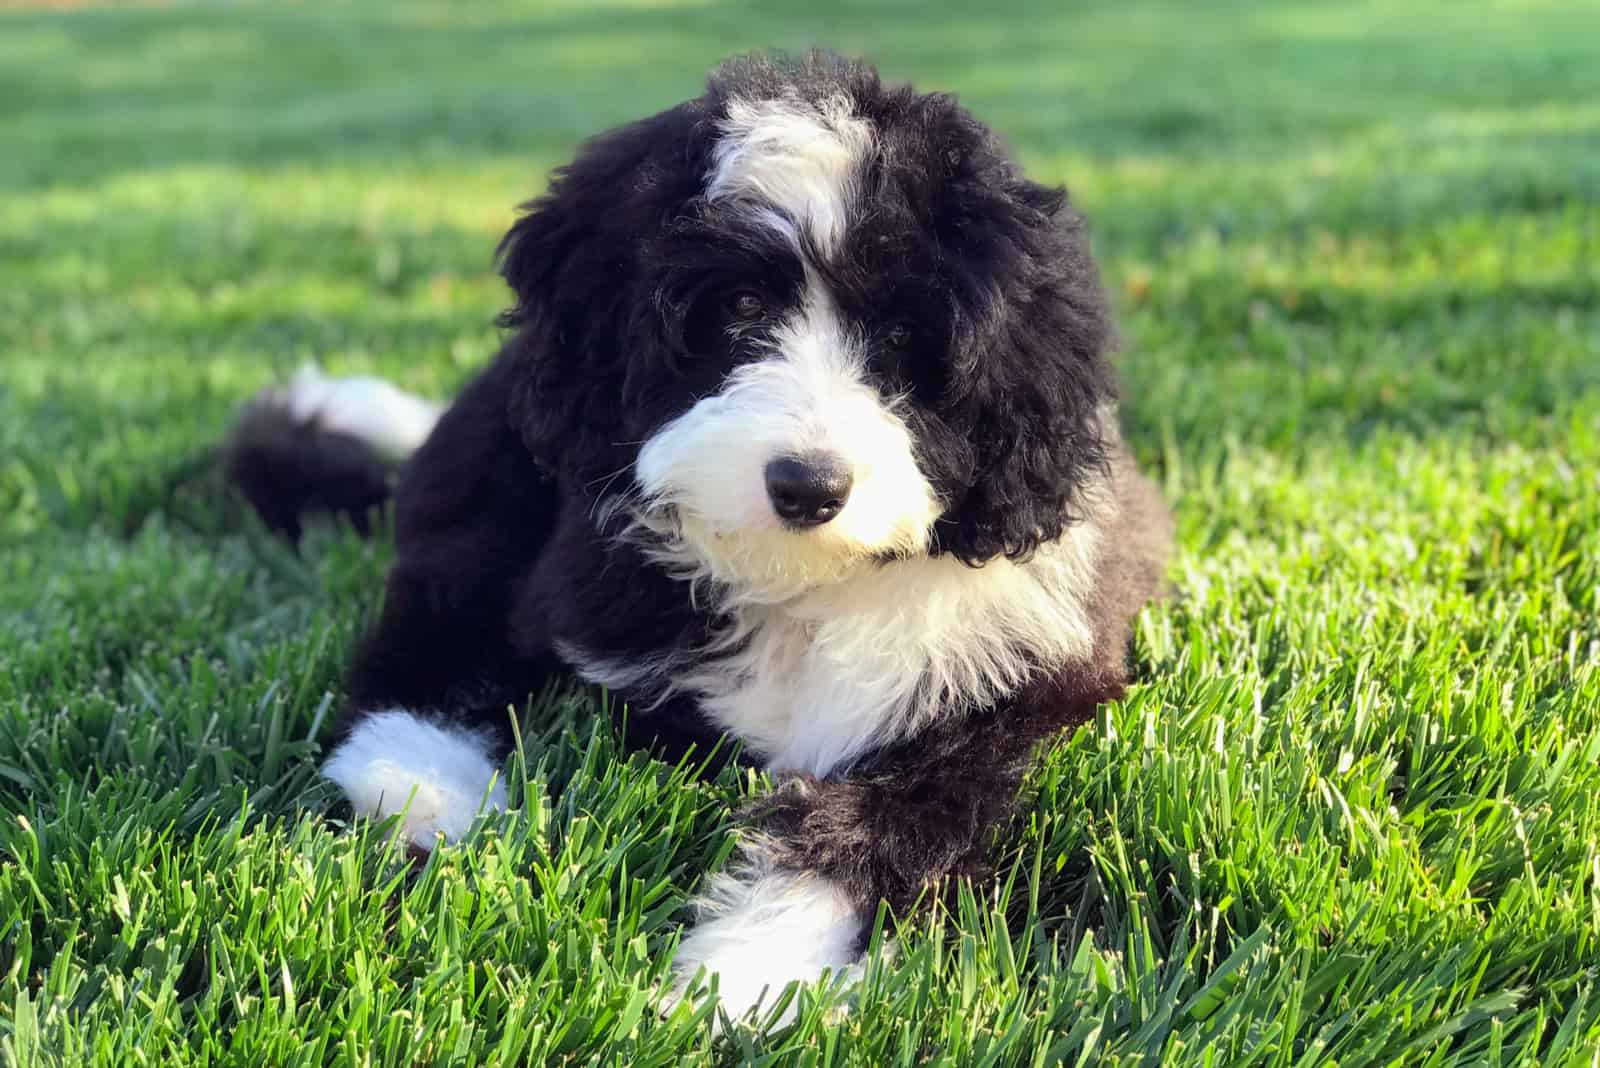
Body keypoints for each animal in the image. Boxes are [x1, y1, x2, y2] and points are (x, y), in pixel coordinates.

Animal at [228, 51, 1177, 1023]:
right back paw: (423, 787)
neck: (803, 584)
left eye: (902, 333)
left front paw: (753, 971)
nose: (808, 485)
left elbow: (896, 820)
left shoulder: (1010, 688)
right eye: (742, 305)